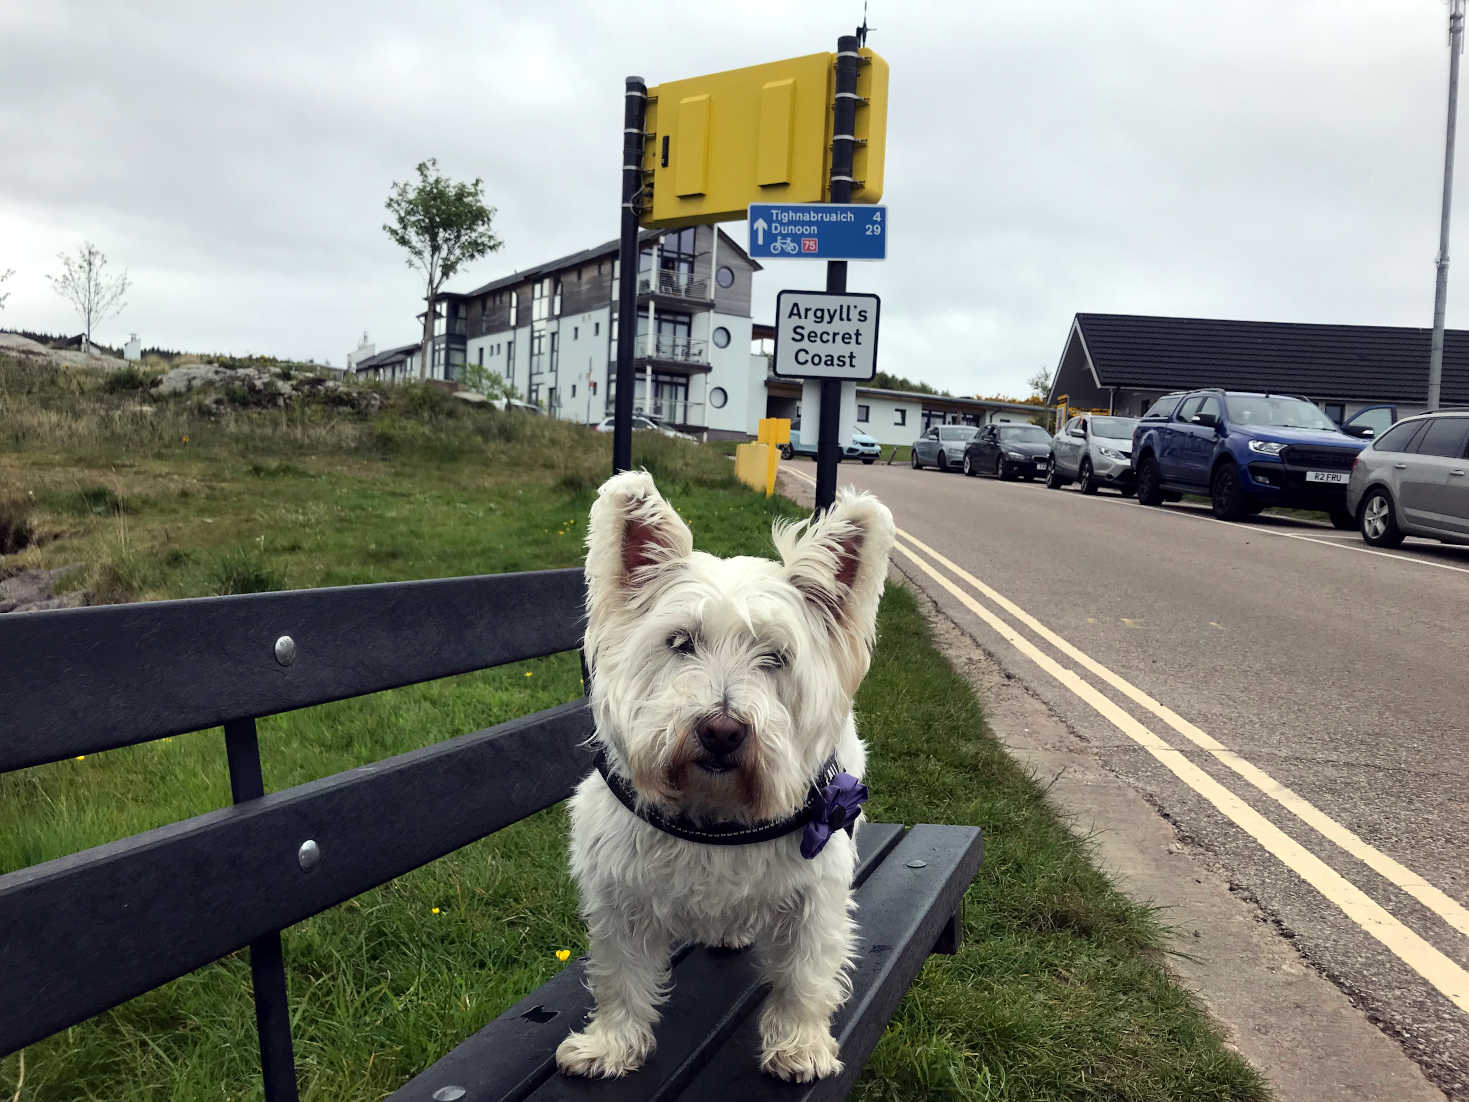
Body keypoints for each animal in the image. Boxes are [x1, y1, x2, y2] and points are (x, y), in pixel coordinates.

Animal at [552, 470, 893, 1081]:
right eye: (680, 642)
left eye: (776, 657)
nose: (722, 732)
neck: (715, 810)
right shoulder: (620, 895)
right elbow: (620, 976)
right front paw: (610, 1045)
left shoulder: (816, 896)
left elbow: (805, 975)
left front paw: (799, 1046)